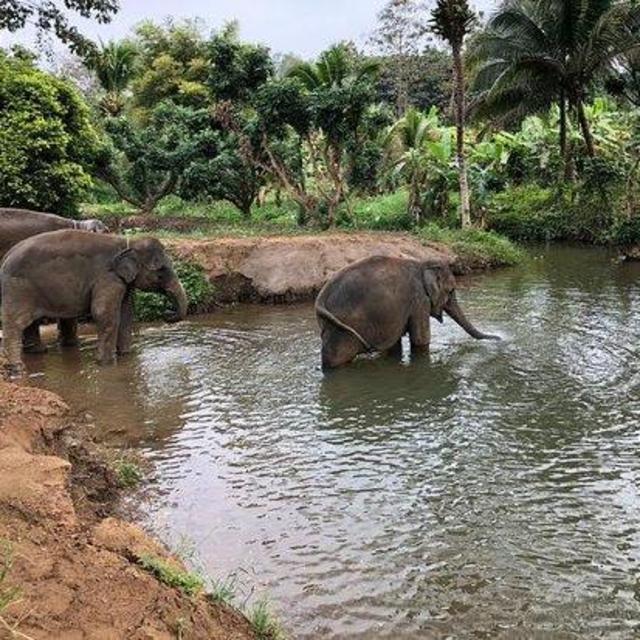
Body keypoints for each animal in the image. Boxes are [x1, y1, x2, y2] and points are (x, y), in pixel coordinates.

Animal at [1, 230, 188, 375]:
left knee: (30, 322)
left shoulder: (123, 282)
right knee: (16, 322)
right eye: (161, 272)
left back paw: (38, 352)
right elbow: (104, 313)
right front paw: (106, 363)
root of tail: (5, 257)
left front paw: (126, 356)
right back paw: (17, 369)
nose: (167, 313)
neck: (126, 243)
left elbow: (126, 314)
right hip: (17, 288)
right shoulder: (108, 277)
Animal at [315, 255, 500, 368]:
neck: (422, 264)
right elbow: (421, 340)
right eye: (451, 291)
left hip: (331, 326)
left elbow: (395, 344)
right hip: (341, 329)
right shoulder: (419, 301)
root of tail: (320, 298)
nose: (499, 338)